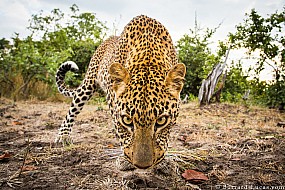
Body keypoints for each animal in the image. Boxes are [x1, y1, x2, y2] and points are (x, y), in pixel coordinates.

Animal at [55, 14, 185, 169]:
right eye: (127, 120)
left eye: (162, 121)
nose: (142, 166)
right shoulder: (113, 101)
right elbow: (120, 132)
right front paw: (123, 159)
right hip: (88, 83)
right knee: (73, 109)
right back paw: (63, 136)